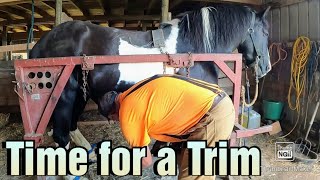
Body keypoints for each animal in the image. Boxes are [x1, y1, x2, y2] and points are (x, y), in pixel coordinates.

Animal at [29, 3, 270, 158]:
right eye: (266, 33)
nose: (266, 67)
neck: (193, 49)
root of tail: (41, 43)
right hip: (63, 96)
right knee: (61, 136)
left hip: (80, 93)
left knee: (71, 128)